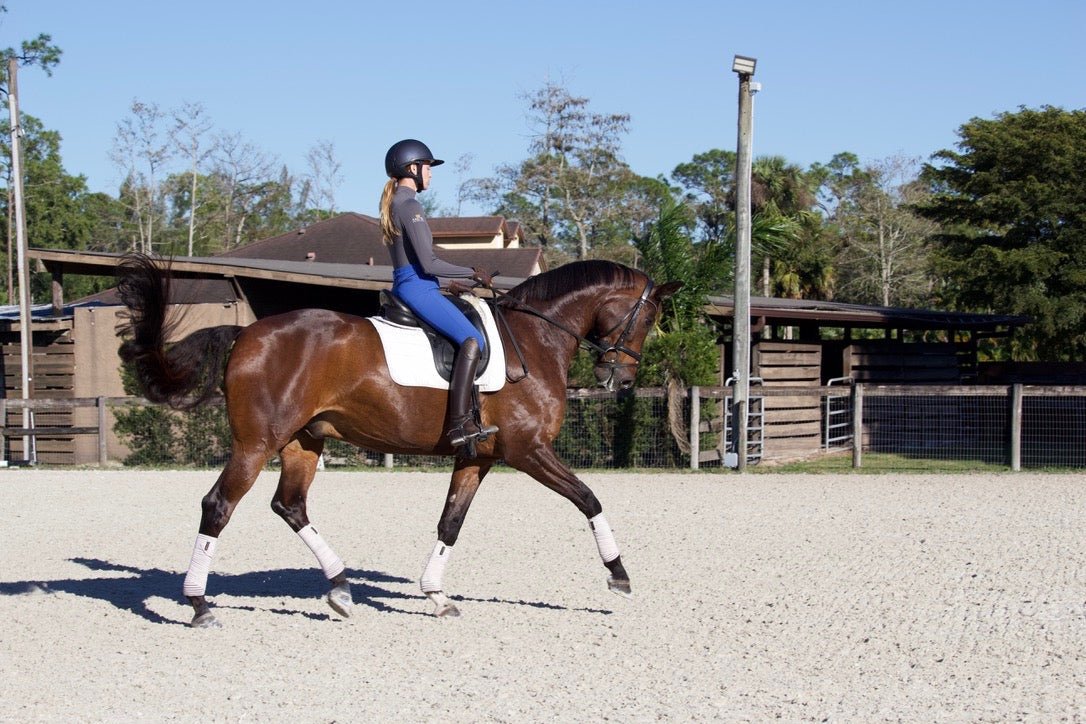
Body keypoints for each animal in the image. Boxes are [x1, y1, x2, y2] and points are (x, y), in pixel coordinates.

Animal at [116, 253, 681, 627]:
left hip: (303, 442)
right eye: (650, 318)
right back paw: (199, 604)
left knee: (290, 505)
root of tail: (246, 334)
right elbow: (589, 499)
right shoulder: (528, 451)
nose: (620, 380)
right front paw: (619, 575)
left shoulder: (478, 458)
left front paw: (436, 595)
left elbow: (451, 523)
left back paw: (341, 590)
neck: (535, 337)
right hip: (257, 444)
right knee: (219, 505)